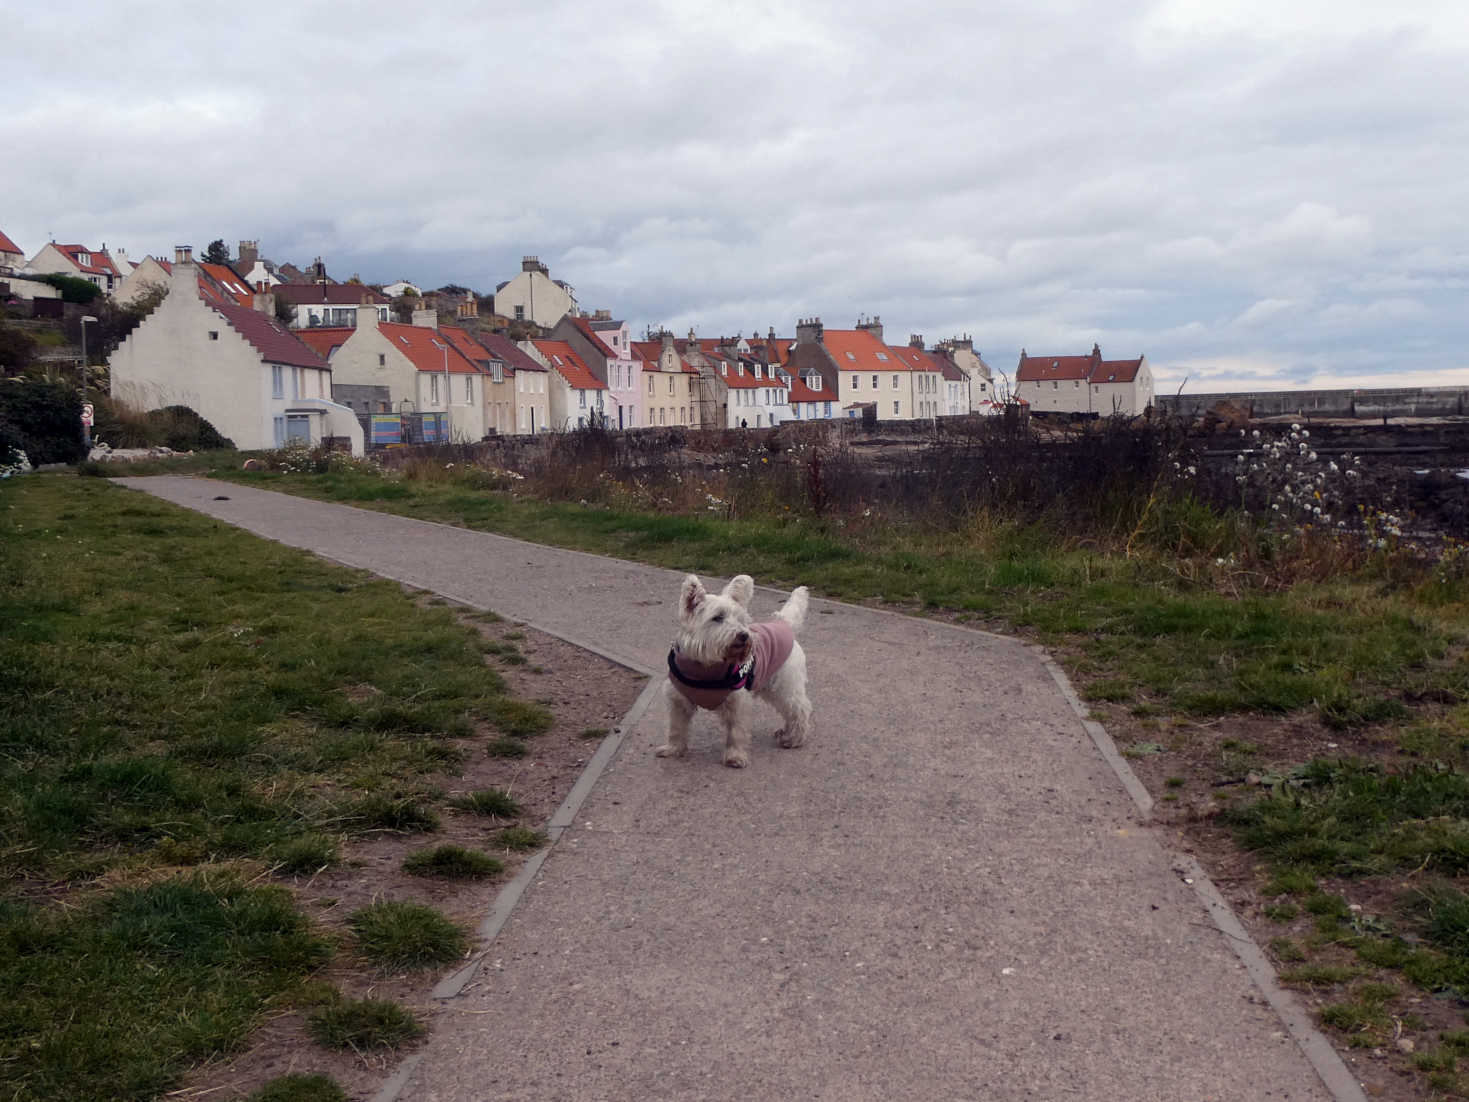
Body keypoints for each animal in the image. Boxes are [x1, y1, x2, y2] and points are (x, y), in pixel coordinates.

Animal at [658, 573, 810, 769]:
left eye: (740, 619)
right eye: (717, 617)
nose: (744, 635)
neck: (705, 667)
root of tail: (784, 624)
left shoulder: (738, 702)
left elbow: (736, 732)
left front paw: (735, 757)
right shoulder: (678, 700)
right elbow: (676, 728)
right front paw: (673, 749)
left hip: (786, 686)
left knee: (800, 709)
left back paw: (794, 739)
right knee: (790, 711)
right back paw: (785, 733)